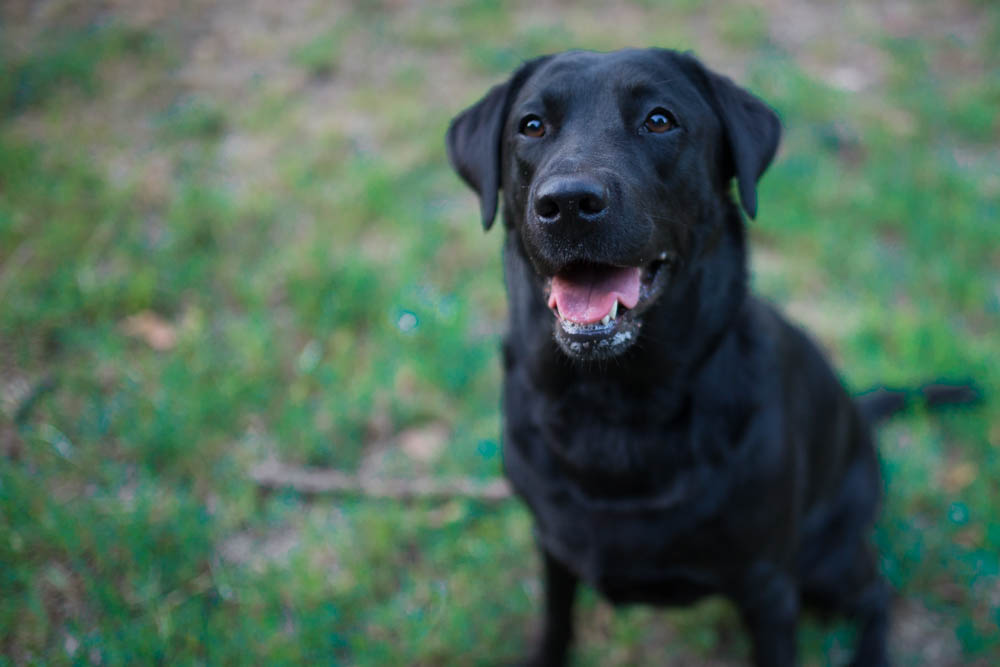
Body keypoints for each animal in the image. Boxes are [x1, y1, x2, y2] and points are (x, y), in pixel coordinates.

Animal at [446, 49, 892, 664]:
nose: (568, 204)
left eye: (659, 120)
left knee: (877, 594)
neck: (613, 405)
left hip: (825, 561)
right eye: (531, 125)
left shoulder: (769, 585)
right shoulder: (553, 546)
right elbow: (556, 621)